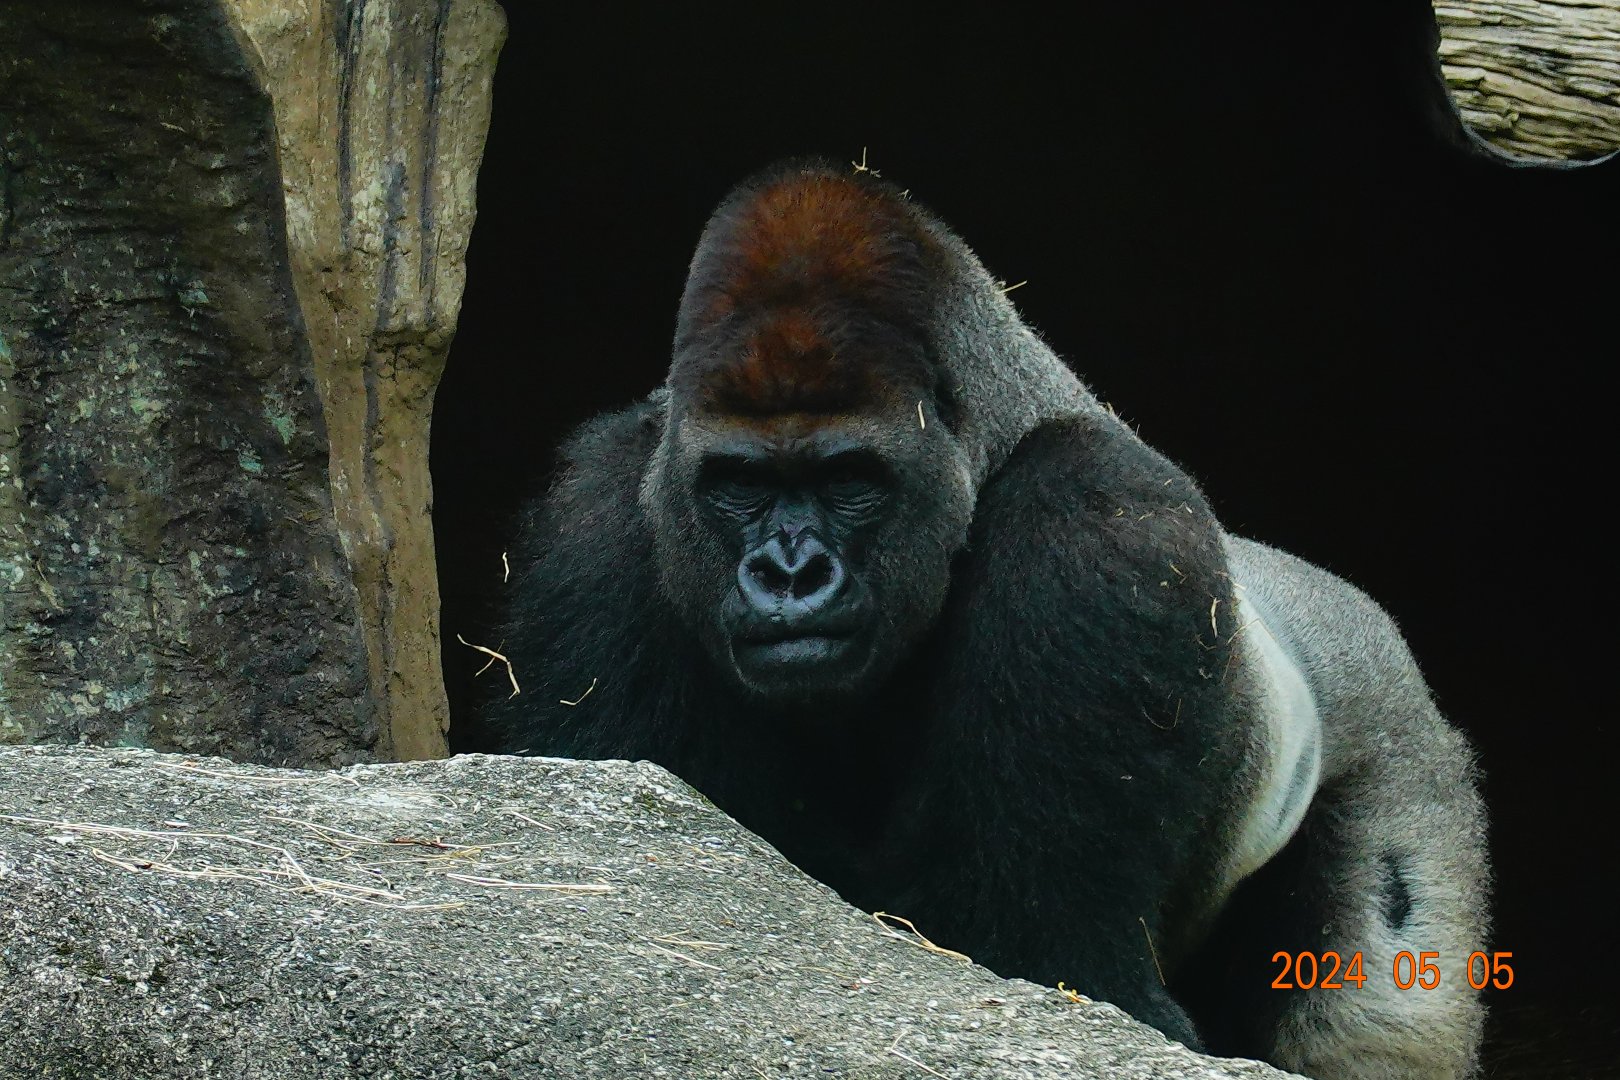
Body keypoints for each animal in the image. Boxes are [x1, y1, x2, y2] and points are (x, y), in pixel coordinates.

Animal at [488, 160, 1489, 1079]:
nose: (789, 574)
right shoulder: (606, 508)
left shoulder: (1099, 527)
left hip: (1404, 746)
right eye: (739, 484)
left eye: (851, 480)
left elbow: (1043, 958)